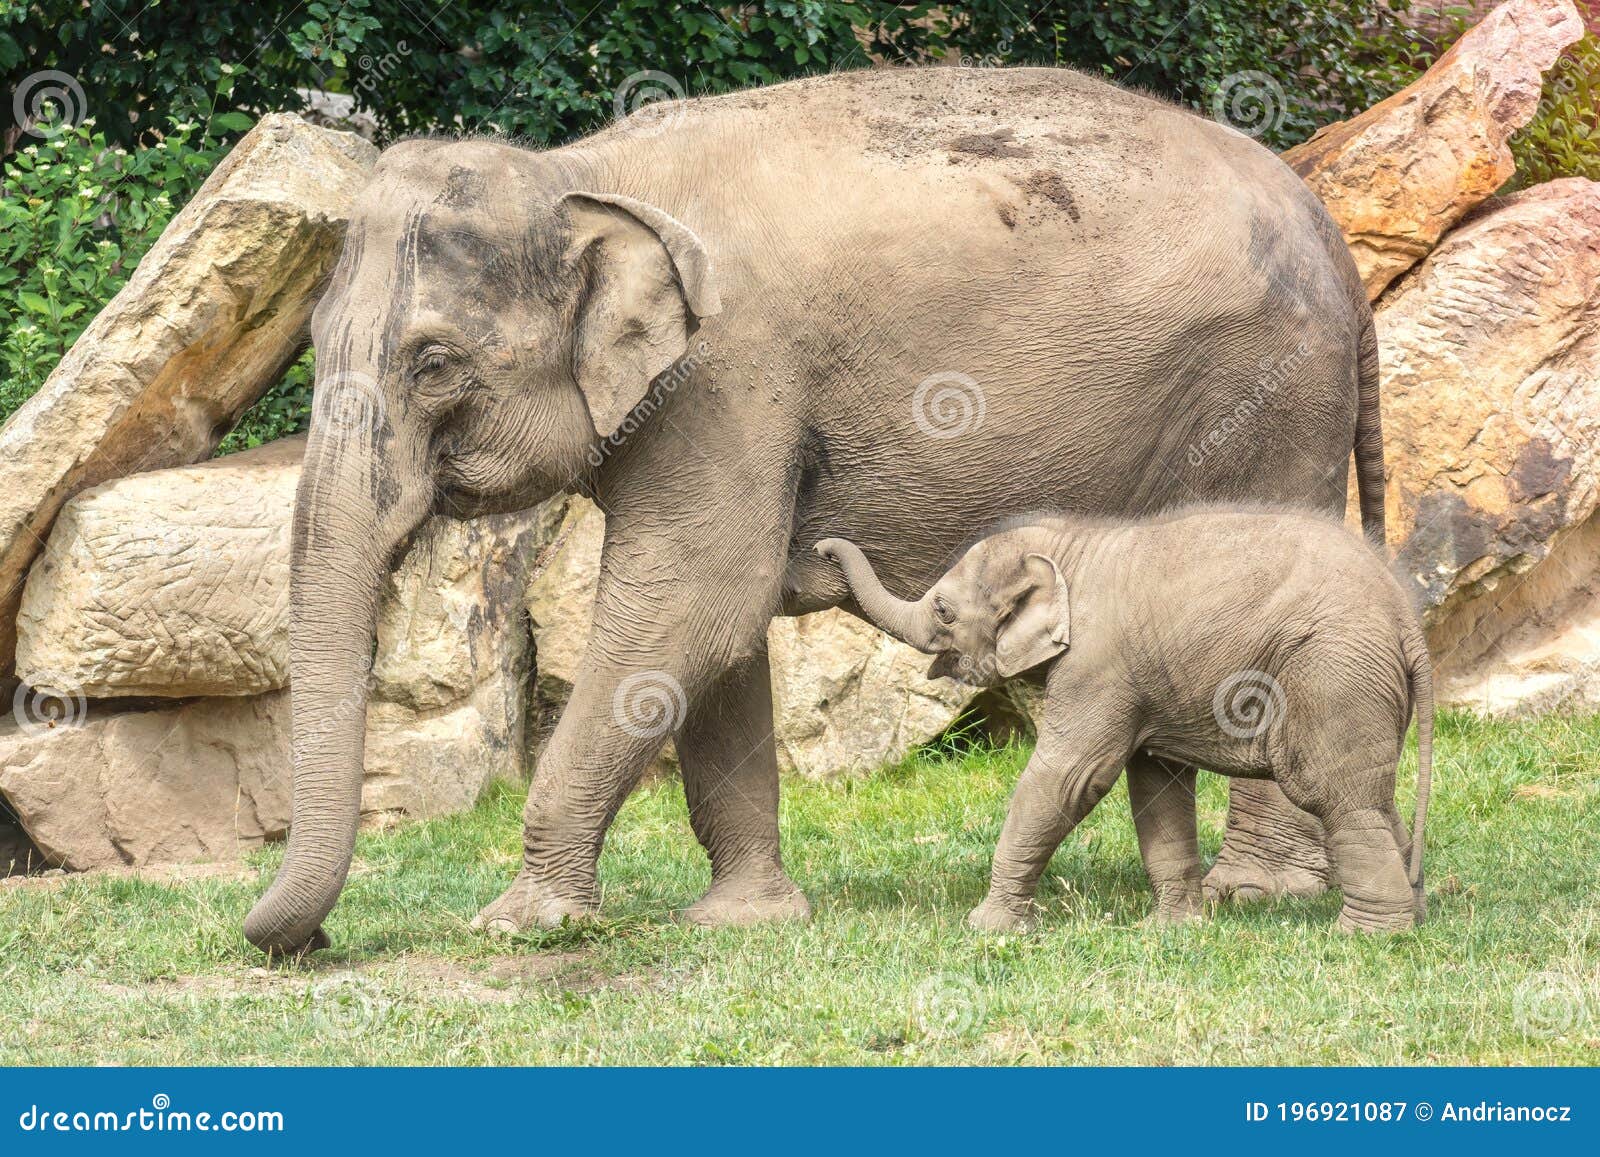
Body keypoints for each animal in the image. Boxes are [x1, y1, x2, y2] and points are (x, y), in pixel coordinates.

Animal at [816, 507, 1433, 934]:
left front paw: (988, 929)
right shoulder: (1143, 680)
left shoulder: (1097, 665)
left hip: (1332, 675)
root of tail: (1407, 619)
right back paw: (1413, 913)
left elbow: (1071, 777)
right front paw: (1172, 930)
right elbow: (1156, 784)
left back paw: (1367, 934)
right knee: (1375, 799)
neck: (1068, 549)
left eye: (943, 610)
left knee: (1337, 796)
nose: (820, 547)